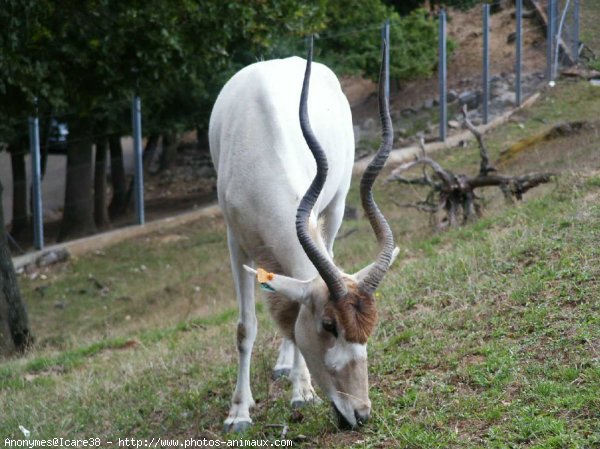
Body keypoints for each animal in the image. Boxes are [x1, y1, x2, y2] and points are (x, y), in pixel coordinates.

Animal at [209, 39, 396, 430]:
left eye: (369, 328)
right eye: (328, 325)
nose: (360, 414)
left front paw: (302, 392)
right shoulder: (235, 242)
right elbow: (245, 327)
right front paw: (239, 413)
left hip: (336, 208)